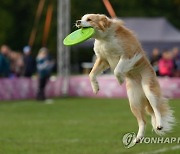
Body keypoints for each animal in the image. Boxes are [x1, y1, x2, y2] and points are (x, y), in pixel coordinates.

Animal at [75, 13, 174, 143]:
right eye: (82, 18)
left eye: (89, 19)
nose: (77, 22)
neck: (104, 38)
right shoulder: (103, 59)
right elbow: (91, 74)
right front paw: (96, 88)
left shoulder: (128, 54)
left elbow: (117, 69)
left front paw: (120, 79)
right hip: (133, 101)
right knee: (143, 121)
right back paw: (138, 138)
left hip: (149, 90)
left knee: (156, 109)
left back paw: (159, 125)